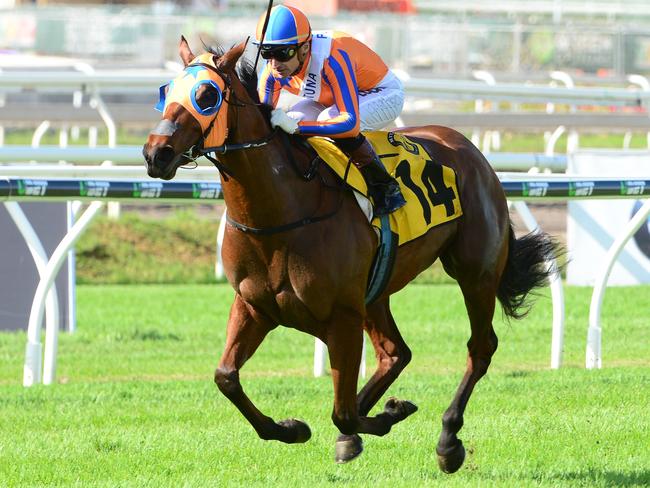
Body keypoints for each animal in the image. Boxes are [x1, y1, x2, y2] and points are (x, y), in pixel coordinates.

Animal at [144, 38, 560, 472]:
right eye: (165, 92)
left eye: (207, 95)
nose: (156, 153)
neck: (283, 211)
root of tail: (471, 151)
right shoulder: (253, 306)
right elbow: (226, 377)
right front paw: (293, 428)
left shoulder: (341, 318)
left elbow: (340, 411)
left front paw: (386, 415)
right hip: (376, 291)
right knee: (395, 354)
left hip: (475, 273)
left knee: (479, 349)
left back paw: (448, 440)